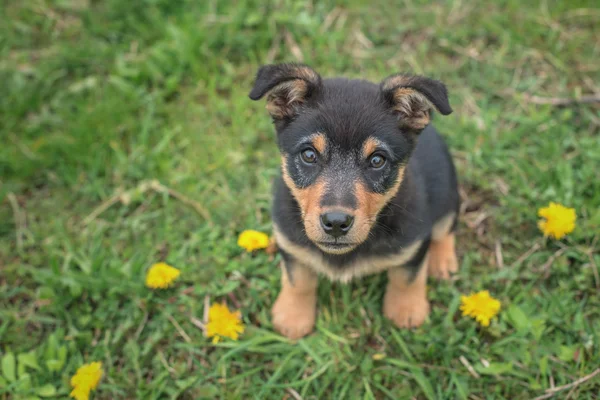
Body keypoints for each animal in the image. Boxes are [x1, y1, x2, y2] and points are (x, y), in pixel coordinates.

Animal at [248, 64, 460, 340]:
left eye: (377, 160)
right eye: (309, 155)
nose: (336, 223)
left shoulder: (414, 241)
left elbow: (406, 277)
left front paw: (406, 311)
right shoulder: (289, 239)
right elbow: (298, 279)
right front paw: (293, 317)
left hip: (448, 196)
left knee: (446, 229)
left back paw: (443, 262)